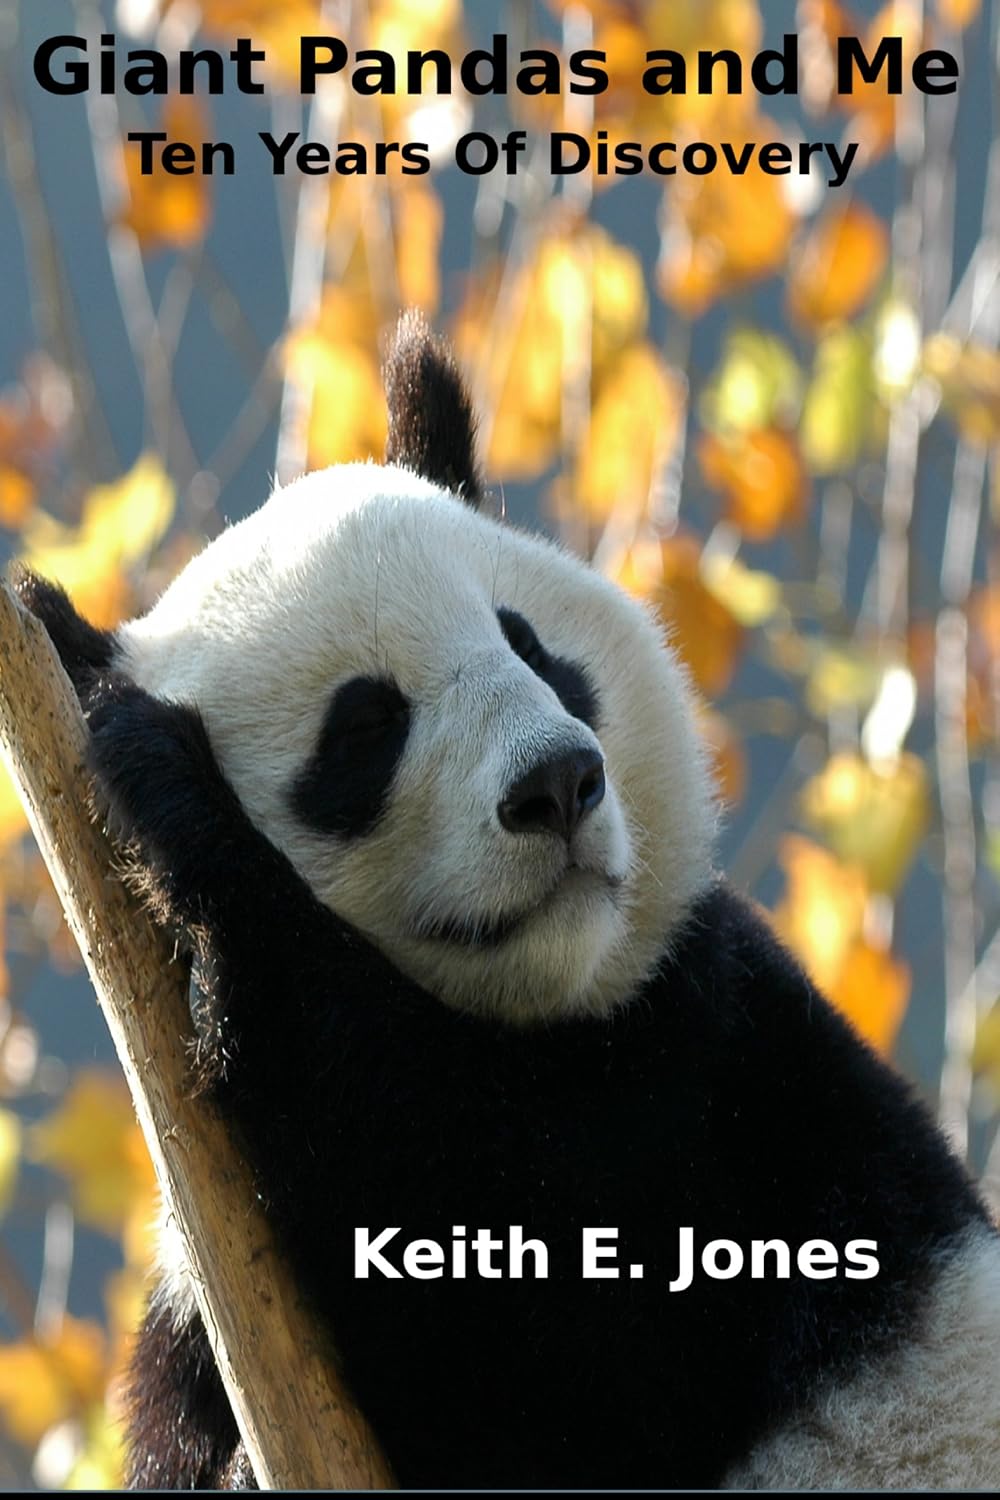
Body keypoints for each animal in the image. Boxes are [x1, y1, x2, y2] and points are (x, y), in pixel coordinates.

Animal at [13, 312, 1000, 1490]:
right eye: (364, 728)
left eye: (531, 647)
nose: (557, 784)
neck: (547, 1020)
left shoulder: (728, 1093)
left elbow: (548, 1325)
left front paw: (172, 793)